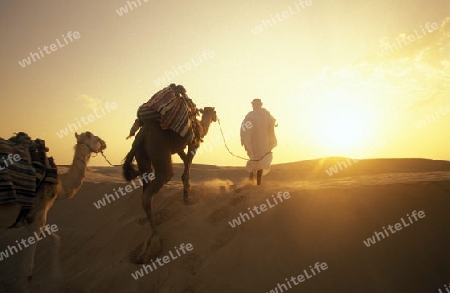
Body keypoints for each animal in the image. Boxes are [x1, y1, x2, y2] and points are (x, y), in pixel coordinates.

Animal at [0, 131, 106, 290]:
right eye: (93, 136)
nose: (104, 143)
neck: (60, 185)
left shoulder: (34, 218)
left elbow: (56, 240)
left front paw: (57, 280)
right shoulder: (37, 217)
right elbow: (27, 271)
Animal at [121, 106, 216, 262]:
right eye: (214, 112)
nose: (216, 117)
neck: (201, 126)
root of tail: (143, 134)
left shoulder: (179, 148)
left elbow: (185, 162)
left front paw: (186, 194)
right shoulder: (193, 143)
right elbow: (187, 166)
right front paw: (186, 198)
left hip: (142, 156)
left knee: (145, 188)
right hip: (159, 149)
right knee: (154, 188)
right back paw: (156, 240)